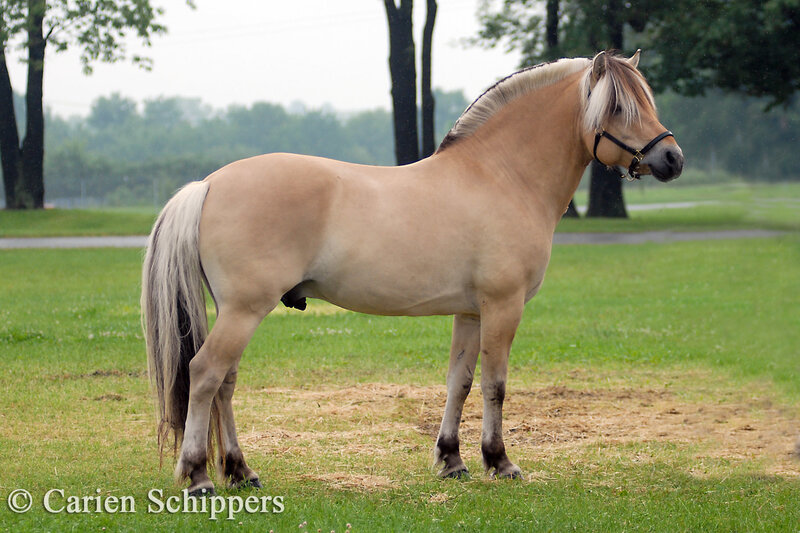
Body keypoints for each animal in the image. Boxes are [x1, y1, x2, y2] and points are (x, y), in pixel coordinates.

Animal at [141, 50, 684, 495]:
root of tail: (208, 184)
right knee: (205, 375)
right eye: (619, 108)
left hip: (237, 311)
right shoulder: (502, 306)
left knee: (225, 382)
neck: (501, 176)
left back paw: (240, 471)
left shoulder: (471, 312)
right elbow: (495, 384)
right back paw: (198, 476)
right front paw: (500, 462)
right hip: (244, 310)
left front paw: (452, 460)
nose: (672, 158)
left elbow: (459, 381)